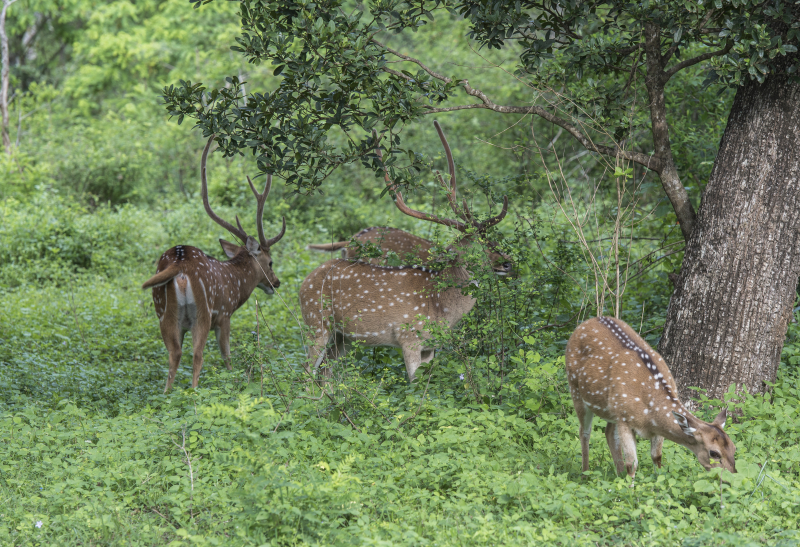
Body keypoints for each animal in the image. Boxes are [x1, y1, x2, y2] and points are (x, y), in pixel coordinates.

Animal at [144, 137, 288, 394]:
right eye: (270, 261)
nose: (276, 283)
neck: (235, 284)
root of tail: (180, 265)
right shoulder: (224, 314)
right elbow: (226, 355)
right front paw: (234, 379)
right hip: (203, 310)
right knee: (197, 354)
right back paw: (193, 393)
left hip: (163, 311)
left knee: (174, 354)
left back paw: (168, 395)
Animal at [300, 122, 512, 384]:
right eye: (477, 245)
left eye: (491, 238)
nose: (507, 263)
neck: (441, 307)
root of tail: (304, 283)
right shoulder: (409, 336)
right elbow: (414, 383)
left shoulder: (431, 346)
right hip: (316, 322)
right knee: (306, 371)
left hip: (343, 337)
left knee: (326, 372)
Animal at [564, 316, 736, 480]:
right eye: (714, 453)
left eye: (734, 448)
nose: (732, 476)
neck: (650, 412)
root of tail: (586, 322)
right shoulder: (624, 419)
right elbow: (632, 464)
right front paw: (629, 489)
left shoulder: (647, 425)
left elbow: (656, 456)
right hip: (575, 389)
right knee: (584, 432)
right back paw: (585, 474)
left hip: (610, 409)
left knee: (608, 432)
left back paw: (618, 474)